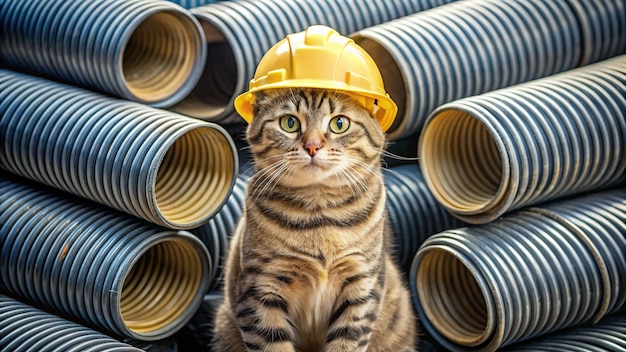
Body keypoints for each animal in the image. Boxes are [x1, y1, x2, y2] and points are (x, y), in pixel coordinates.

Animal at [212, 88, 416, 352]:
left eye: (339, 124)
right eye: (289, 123)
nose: (312, 147)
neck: (319, 214)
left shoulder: (361, 284)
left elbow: (347, 343)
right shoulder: (262, 287)